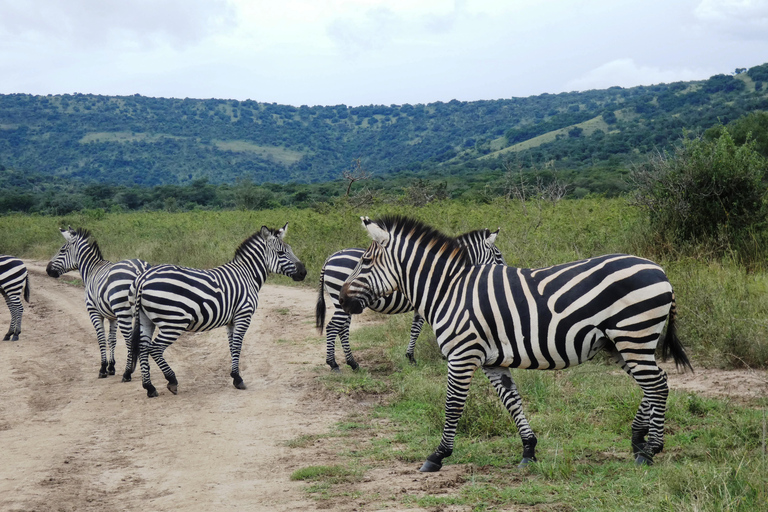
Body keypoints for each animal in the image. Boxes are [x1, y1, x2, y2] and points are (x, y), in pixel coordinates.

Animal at [47, 228, 153, 380]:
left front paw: (103, 368)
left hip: (123, 312)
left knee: (129, 340)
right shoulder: (113, 317)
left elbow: (101, 339)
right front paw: (111, 367)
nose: (47, 269)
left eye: (62, 250)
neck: (91, 270)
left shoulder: (94, 312)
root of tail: (139, 268)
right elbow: (112, 340)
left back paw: (127, 373)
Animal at [129, 222, 306, 398]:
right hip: (174, 321)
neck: (247, 275)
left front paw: (234, 376)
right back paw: (171, 380)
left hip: (146, 320)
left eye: (290, 249)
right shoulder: (243, 315)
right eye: (281, 252)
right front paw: (238, 379)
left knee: (143, 348)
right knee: (154, 348)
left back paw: (150, 387)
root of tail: (143, 279)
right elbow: (237, 345)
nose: (304, 272)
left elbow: (232, 345)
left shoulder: (231, 321)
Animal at [316, 227, 508, 368]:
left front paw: (411, 356)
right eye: (498, 256)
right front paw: (418, 357)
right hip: (342, 301)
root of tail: (329, 258)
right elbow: (420, 329)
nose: (505, 272)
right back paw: (333, 363)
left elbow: (416, 328)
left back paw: (352, 362)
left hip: (346, 304)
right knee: (333, 327)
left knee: (342, 329)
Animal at [340, 215, 692, 472]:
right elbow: (512, 401)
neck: (448, 290)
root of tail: (660, 271)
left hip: (633, 335)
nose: (343, 300)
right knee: (653, 383)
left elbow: (453, 405)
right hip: (620, 342)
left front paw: (438, 455)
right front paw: (528, 449)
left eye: (366, 262)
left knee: (657, 384)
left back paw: (651, 449)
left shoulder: (462, 354)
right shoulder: (491, 361)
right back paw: (638, 439)